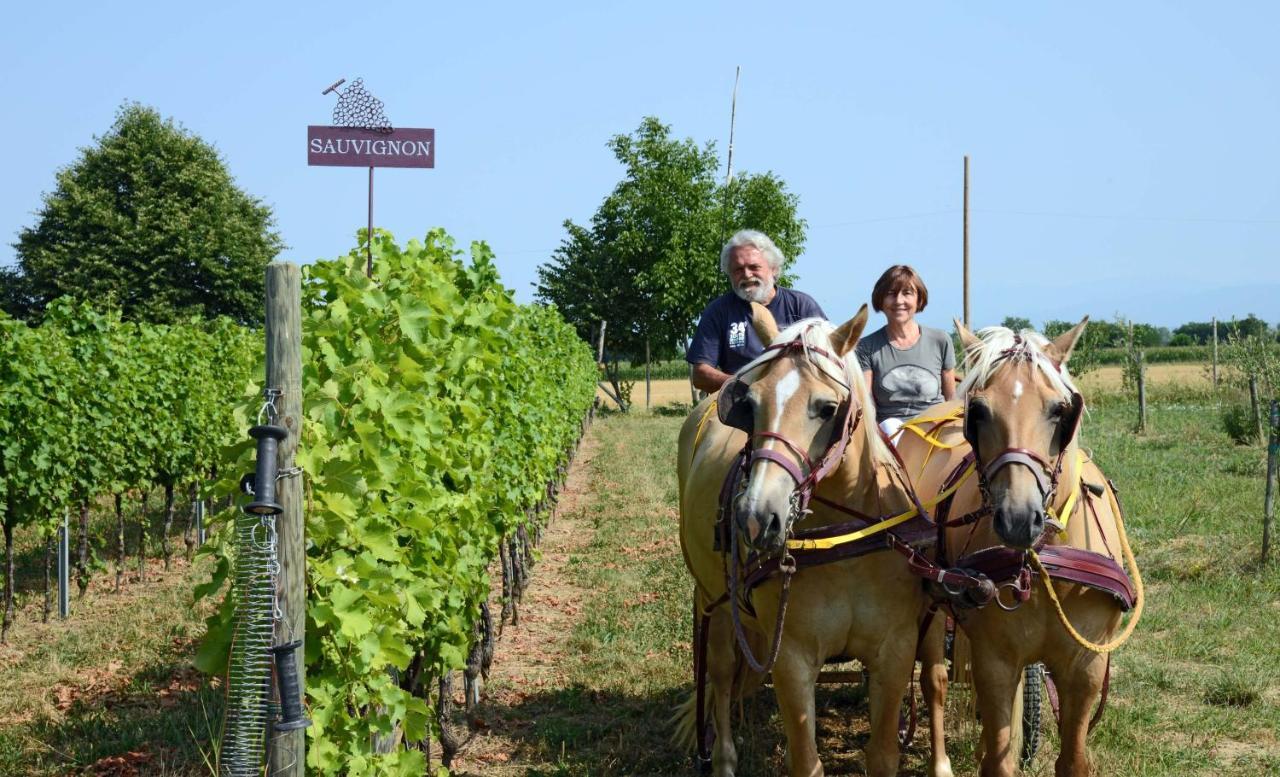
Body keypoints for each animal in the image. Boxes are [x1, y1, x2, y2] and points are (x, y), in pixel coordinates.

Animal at [675, 305, 957, 777]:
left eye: (827, 408)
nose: (756, 518)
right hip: (713, 599)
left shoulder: (894, 650)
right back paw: (724, 758)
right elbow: (807, 761)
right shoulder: (791, 658)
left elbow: (884, 754)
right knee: (721, 671)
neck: (844, 541)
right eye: (750, 404)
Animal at [896, 321, 1146, 777]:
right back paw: (941, 762)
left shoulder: (1086, 668)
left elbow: (1072, 760)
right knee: (934, 681)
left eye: (1060, 411)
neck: (1044, 560)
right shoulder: (995, 660)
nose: (1017, 518)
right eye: (978, 412)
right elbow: (1000, 761)